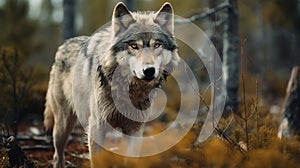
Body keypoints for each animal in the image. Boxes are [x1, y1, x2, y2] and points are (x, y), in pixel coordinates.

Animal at [43, 1, 179, 167]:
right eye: (134, 46)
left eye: (157, 45)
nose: (149, 71)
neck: (128, 91)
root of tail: (63, 45)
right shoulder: (97, 127)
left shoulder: (135, 130)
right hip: (63, 125)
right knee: (57, 155)